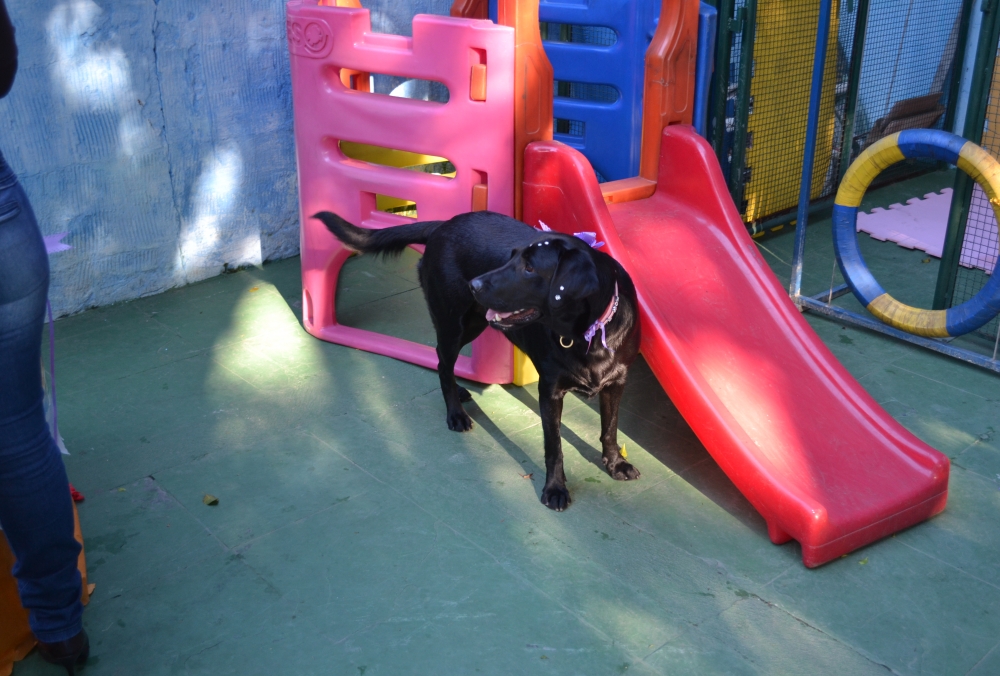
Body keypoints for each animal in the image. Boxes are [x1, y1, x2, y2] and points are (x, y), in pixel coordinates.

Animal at [314, 209, 640, 510]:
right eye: (511, 258)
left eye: (530, 267)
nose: (474, 284)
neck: (587, 335)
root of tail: (443, 224)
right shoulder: (550, 391)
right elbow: (554, 446)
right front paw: (555, 489)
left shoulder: (617, 383)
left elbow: (610, 428)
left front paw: (615, 464)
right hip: (457, 323)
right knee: (442, 362)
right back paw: (455, 413)